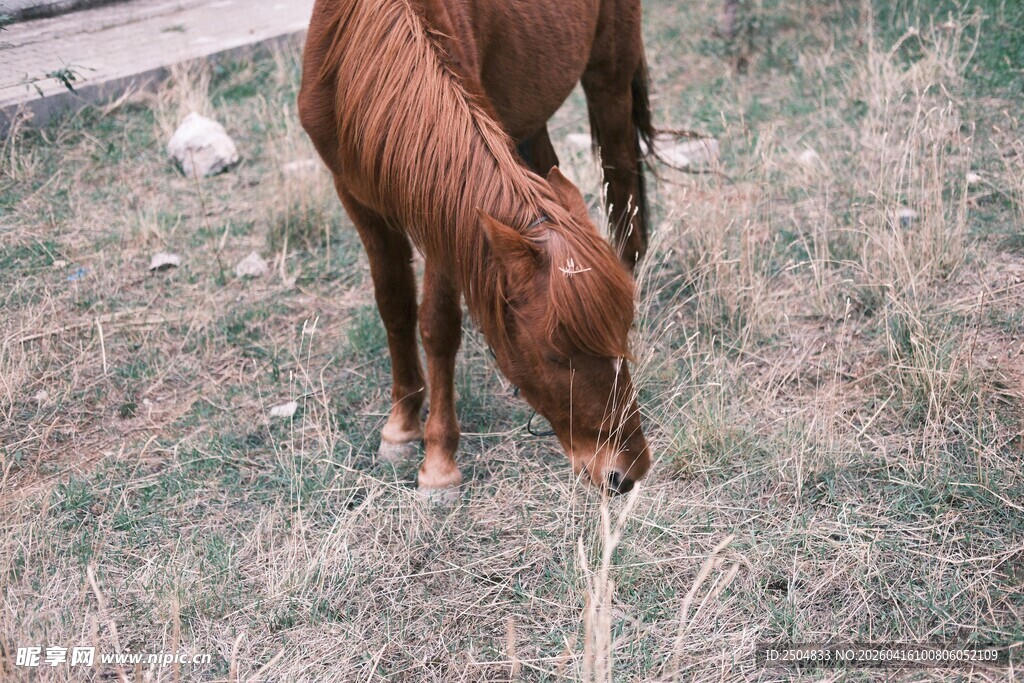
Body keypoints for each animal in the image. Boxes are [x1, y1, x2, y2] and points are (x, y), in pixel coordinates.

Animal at [298, 0, 652, 498]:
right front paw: (402, 426)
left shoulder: (444, 219)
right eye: (555, 356)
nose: (627, 472)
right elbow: (394, 305)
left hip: (609, 74)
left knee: (622, 185)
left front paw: (438, 462)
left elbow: (438, 325)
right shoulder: (357, 198)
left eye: (621, 334)